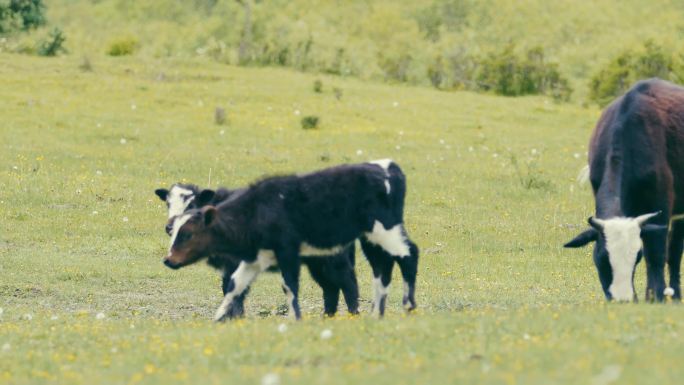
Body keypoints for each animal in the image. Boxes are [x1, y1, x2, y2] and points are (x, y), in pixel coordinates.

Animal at [155, 183, 360, 316]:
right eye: (168, 204)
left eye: (191, 204)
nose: (170, 227)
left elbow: (235, 290)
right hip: (317, 262)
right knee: (330, 288)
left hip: (334, 259)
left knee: (347, 283)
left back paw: (352, 315)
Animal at [564, 78, 684, 302]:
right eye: (602, 258)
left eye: (635, 257)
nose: (622, 299)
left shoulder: (661, 206)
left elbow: (655, 254)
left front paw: (657, 295)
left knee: (674, 251)